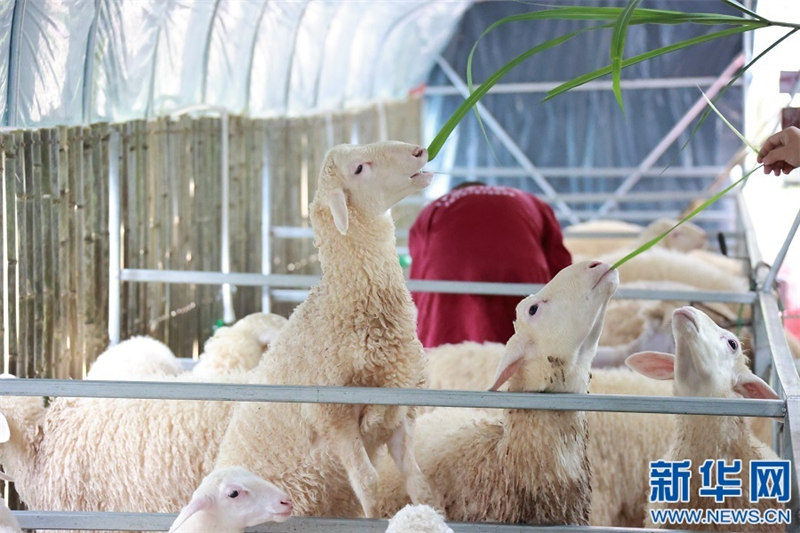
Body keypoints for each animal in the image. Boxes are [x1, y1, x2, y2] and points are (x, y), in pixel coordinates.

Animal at [214, 141, 438, 518]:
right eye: (359, 168)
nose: (420, 151)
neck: (347, 308)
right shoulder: (334, 417)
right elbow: (368, 481)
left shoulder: (396, 409)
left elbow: (418, 480)